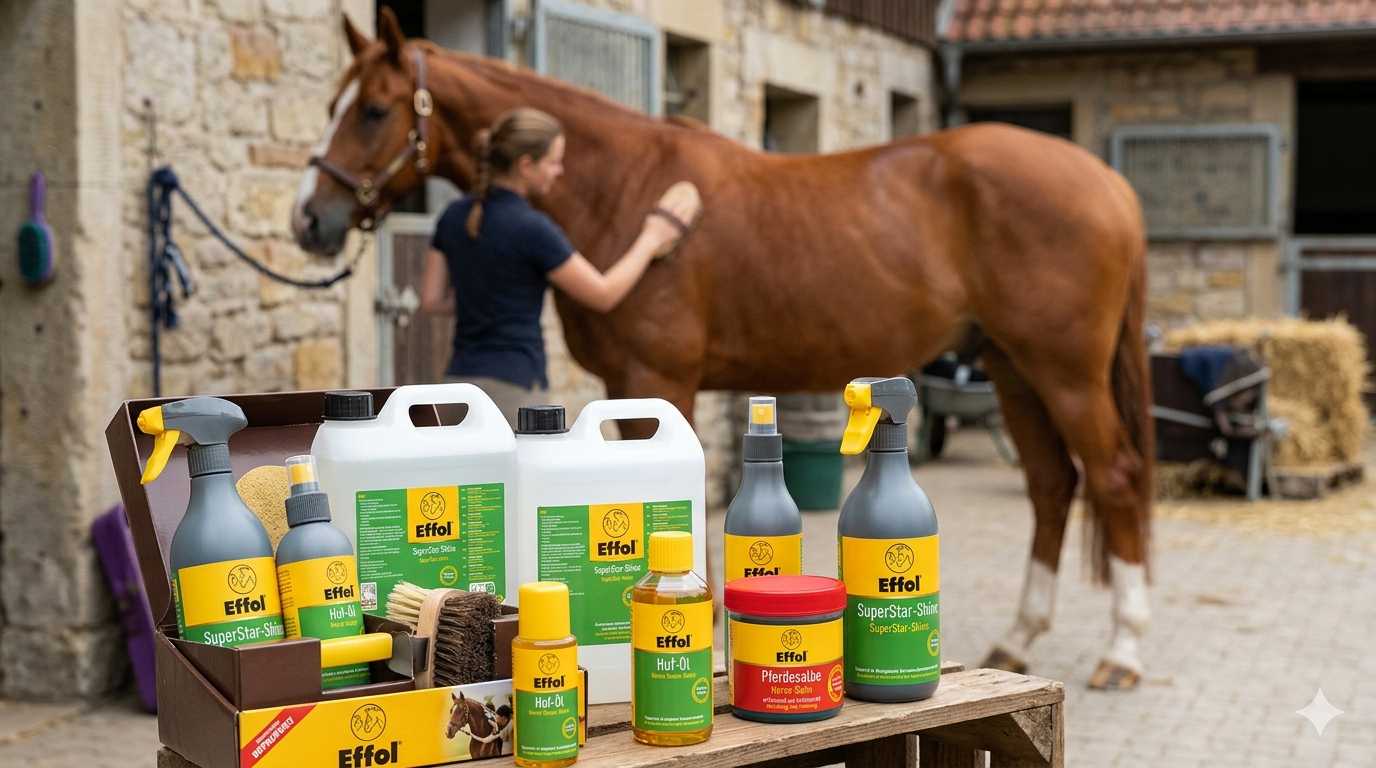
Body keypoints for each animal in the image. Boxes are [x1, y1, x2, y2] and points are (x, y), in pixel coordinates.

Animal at [292, 9, 1154, 690]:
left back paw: (1123, 650)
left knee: (1110, 477)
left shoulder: (658, 377)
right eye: (333, 105)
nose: (310, 219)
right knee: (1052, 484)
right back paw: (1019, 638)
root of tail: (1108, 184)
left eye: (373, 111)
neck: (620, 191)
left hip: (1062, 367)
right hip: (1012, 365)